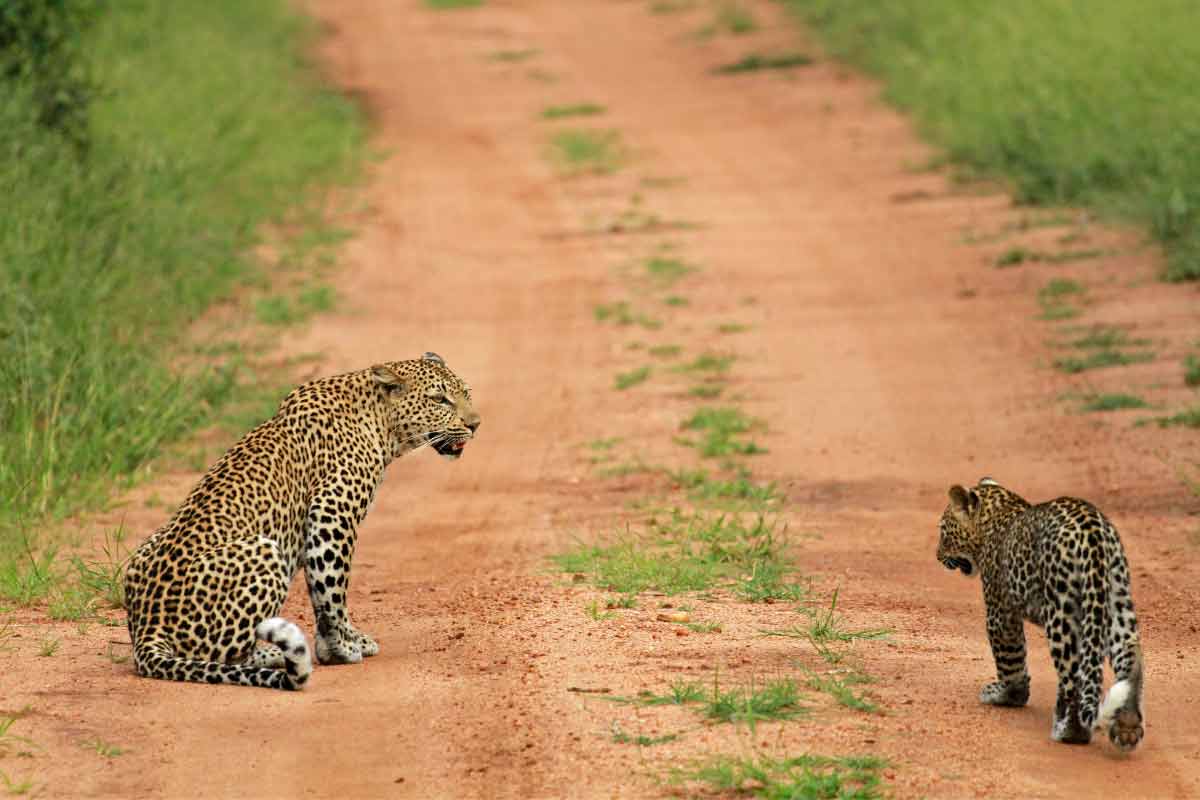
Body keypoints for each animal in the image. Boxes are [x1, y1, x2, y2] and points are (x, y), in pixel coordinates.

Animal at [121, 352, 477, 690]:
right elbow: (333, 590)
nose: (476, 424)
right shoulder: (331, 514)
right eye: (440, 399)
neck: (380, 423)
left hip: (144, 549)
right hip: (265, 551)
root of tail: (148, 632)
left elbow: (320, 592)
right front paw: (344, 647)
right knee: (222, 654)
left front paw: (334, 645)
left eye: (466, 393)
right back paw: (275, 653)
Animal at [936, 479, 1142, 753]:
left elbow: (1010, 660)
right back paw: (1127, 727)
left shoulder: (1000, 612)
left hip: (1061, 613)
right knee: (1132, 659)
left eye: (943, 531)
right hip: (1117, 602)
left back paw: (1069, 731)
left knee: (1072, 678)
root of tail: (1094, 532)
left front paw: (1008, 695)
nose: (937, 556)